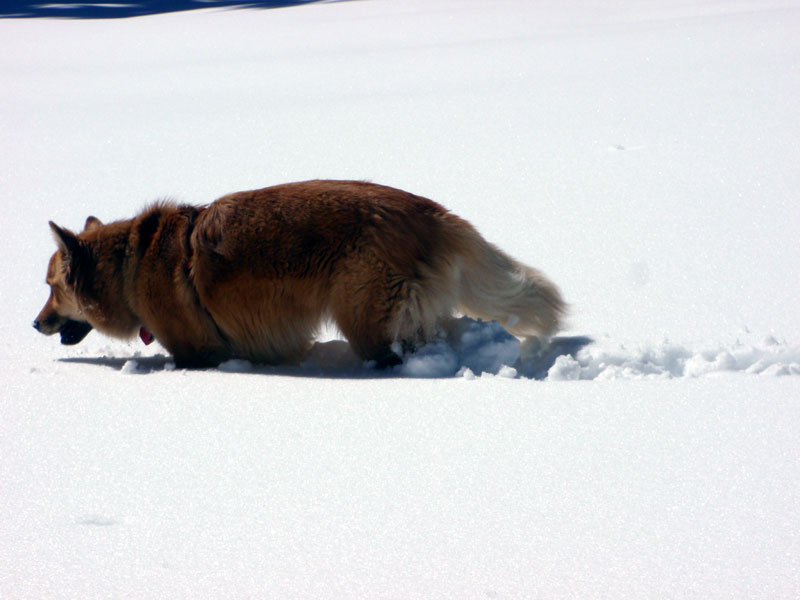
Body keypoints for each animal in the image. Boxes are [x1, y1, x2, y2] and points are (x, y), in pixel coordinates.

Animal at [34, 179, 564, 366]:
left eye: (51, 288)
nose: (35, 323)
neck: (129, 262)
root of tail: (427, 212)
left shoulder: (198, 352)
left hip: (363, 316)